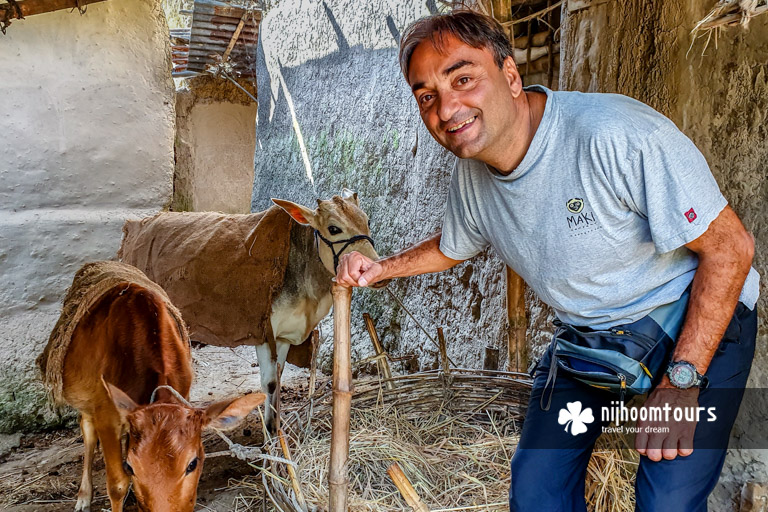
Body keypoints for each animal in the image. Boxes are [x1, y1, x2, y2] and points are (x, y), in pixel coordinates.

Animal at [39, 264, 268, 512]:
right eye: (131, 466)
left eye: (192, 464)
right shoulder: (106, 416)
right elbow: (117, 483)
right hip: (88, 400)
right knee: (88, 431)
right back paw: (83, 497)